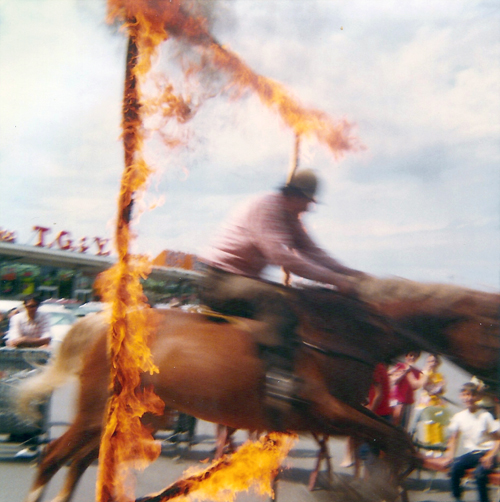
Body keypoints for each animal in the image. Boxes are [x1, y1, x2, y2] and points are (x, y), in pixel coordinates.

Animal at [19, 276, 500, 502]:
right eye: (492, 330)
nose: (487, 395)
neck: (347, 332)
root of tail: (101, 322)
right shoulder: (328, 412)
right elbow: (396, 440)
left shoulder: (348, 414)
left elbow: (397, 441)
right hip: (97, 412)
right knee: (54, 456)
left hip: (138, 415)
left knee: (81, 460)